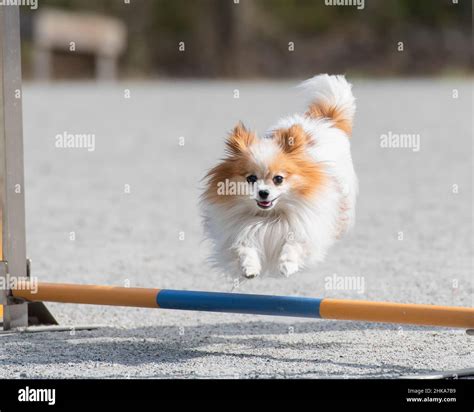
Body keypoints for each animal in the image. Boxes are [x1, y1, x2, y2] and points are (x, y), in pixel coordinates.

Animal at [202, 74, 358, 280]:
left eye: (278, 179)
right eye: (251, 179)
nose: (263, 193)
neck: (269, 216)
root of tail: (324, 120)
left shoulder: (304, 228)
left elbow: (293, 245)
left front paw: (287, 265)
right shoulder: (238, 232)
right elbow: (244, 248)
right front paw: (249, 268)